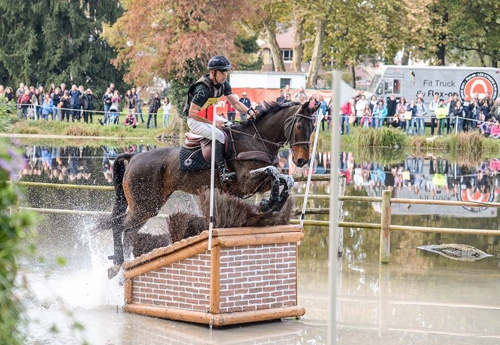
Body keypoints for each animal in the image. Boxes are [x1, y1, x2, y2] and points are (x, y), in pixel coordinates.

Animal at [106, 99, 320, 276]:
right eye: (299, 125)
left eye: (313, 127)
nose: (302, 161)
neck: (256, 139)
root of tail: (134, 156)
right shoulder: (245, 182)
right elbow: (274, 173)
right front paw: (270, 202)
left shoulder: (256, 184)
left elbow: (286, 179)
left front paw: (272, 202)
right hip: (145, 206)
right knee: (118, 226)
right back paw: (116, 265)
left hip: (148, 207)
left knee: (128, 231)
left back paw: (122, 268)